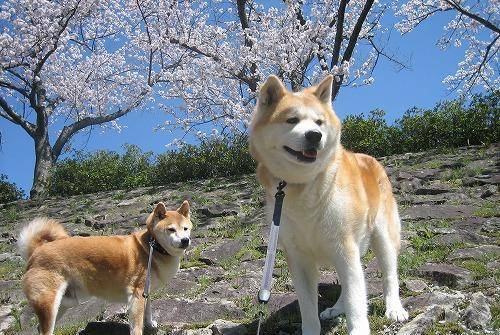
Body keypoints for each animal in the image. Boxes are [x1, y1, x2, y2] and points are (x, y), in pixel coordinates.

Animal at [18, 202, 192, 335]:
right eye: (171, 229)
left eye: (185, 228)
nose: (185, 240)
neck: (152, 247)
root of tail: (36, 250)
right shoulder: (136, 295)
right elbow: (136, 325)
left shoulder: (146, 292)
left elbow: (148, 311)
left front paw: (150, 324)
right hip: (49, 303)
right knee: (45, 330)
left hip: (65, 303)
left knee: (40, 328)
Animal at [250, 76, 410, 335]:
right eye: (292, 120)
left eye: (319, 122)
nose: (315, 135)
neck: (303, 185)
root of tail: (367, 157)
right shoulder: (299, 257)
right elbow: (308, 308)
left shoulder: (344, 246)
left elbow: (357, 301)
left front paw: (358, 329)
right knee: (349, 284)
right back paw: (336, 308)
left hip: (382, 236)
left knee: (388, 276)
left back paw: (394, 308)